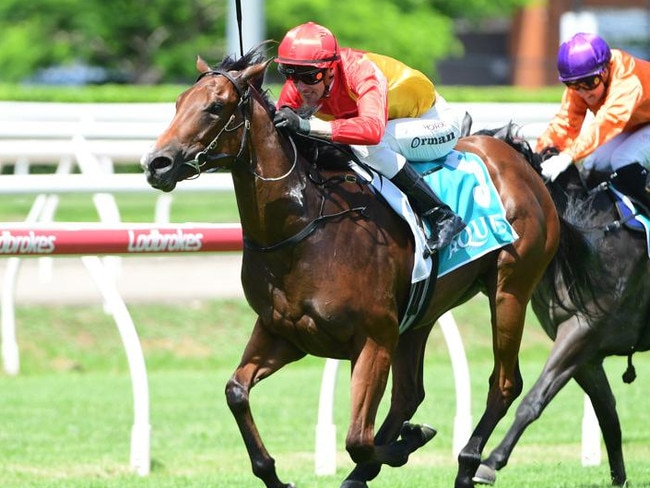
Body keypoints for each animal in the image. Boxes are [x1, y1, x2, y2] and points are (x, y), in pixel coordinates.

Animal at [139, 44, 588, 484]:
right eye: (178, 102)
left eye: (215, 107)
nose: (157, 163)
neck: (304, 225)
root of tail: (517, 160)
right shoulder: (283, 333)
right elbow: (236, 392)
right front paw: (278, 474)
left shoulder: (373, 338)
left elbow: (358, 438)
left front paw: (407, 444)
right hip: (419, 315)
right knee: (409, 394)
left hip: (509, 290)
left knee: (504, 383)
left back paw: (468, 463)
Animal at [470, 124, 648, 486]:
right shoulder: (586, 351)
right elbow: (608, 414)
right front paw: (619, 478)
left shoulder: (582, 332)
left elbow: (533, 399)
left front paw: (491, 461)